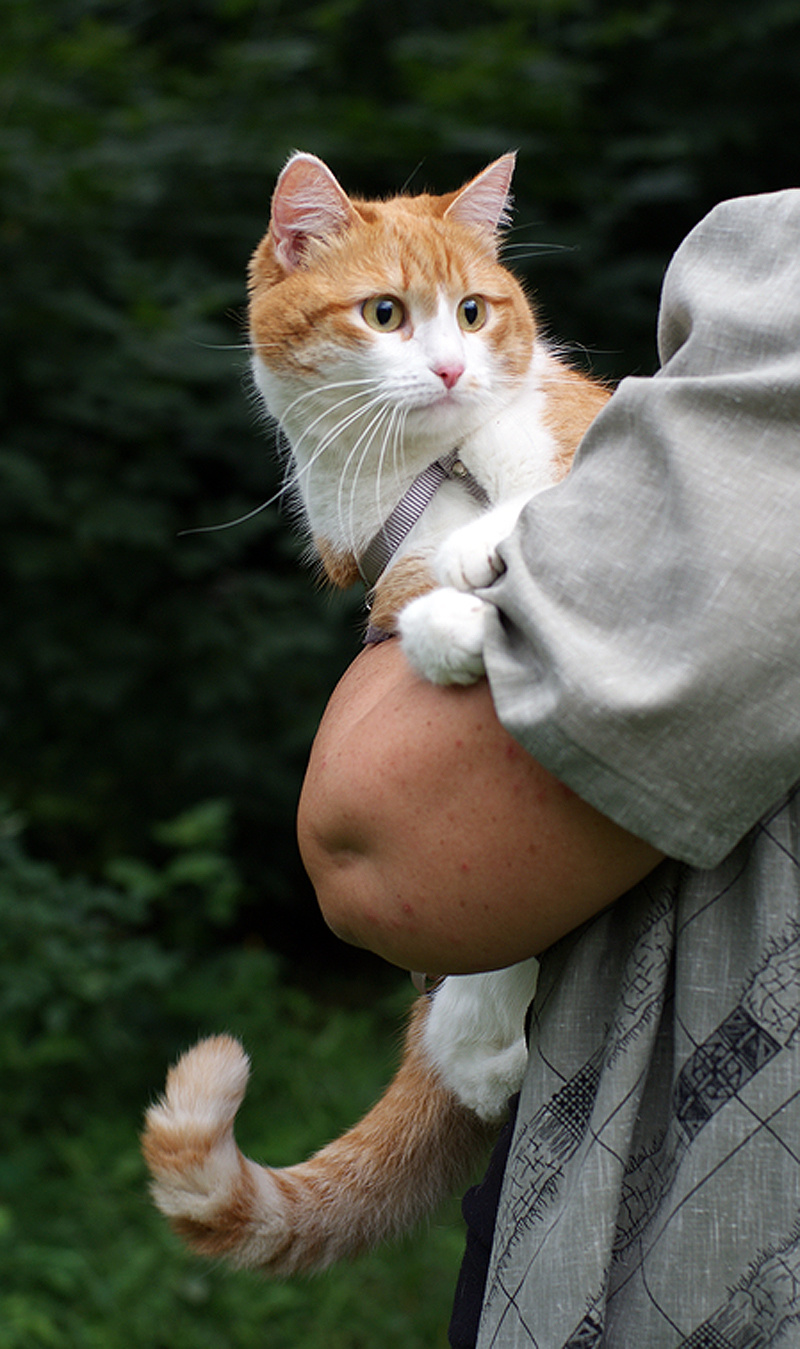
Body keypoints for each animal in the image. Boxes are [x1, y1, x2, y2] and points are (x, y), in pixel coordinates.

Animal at [141, 151, 609, 1275]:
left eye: (473, 313)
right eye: (385, 313)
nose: (447, 371)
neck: (436, 468)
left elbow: (522, 514)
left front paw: (486, 549)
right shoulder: (380, 584)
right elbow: (425, 611)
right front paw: (458, 612)